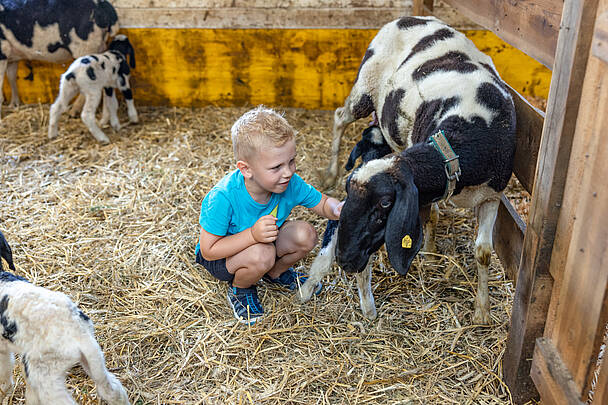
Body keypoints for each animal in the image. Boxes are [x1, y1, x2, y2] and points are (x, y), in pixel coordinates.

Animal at [302, 16, 512, 326]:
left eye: (385, 203)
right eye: (348, 191)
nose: (344, 260)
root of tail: (411, 18)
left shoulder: (492, 195)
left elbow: (483, 251)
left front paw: (482, 310)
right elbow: (429, 217)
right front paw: (428, 253)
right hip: (364, 87)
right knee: (340, 117)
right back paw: (329, 172)